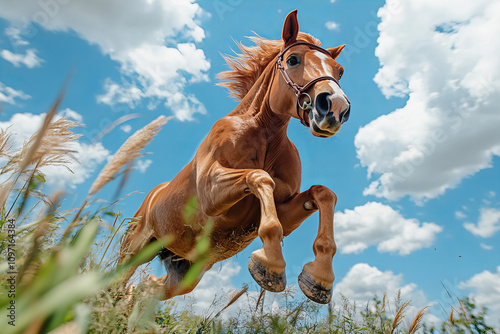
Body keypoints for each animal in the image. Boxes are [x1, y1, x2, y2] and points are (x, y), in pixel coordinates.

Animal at [119, 9, 350, 304]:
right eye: (293, 59)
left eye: (339, 71)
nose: (335, 108)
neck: (264, 135)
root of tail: (152, 196)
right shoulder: (211, 194)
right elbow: (260, 178)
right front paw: (270, 265)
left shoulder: (286, 211)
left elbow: (323, 194)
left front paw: (318, 279)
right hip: (132, 252)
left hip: (183, 272)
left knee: (145, 289)